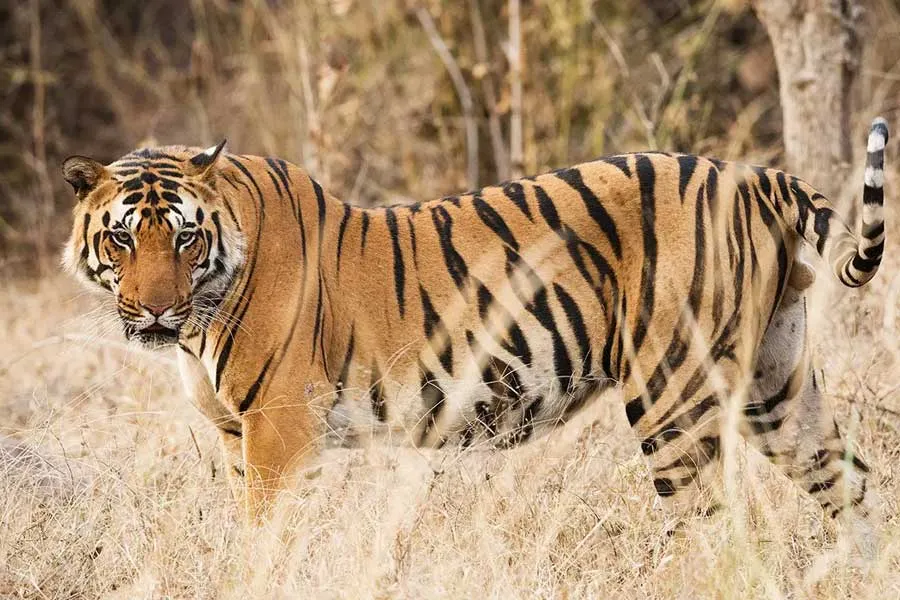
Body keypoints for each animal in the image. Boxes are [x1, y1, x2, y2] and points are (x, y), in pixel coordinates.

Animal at [61, 118, 888, 542]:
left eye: (184, 238)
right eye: (124, 239)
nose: (156, 311)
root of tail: (753, 176)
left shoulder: (279, 429)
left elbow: (265, 543)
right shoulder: (237, 434)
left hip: (672, 395)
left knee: (710, 530)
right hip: (777, 383)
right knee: (852, 483)